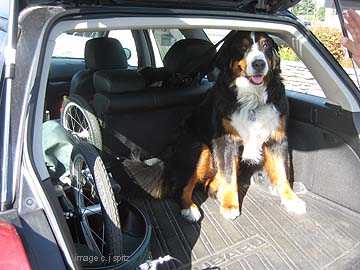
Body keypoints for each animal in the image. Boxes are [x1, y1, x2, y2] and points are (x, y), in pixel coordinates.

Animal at [124, 31, 306, 221]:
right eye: (242, 47)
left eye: (266, 46)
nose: (259, 64)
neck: (252, 98)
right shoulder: (226, 140)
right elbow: (229, 175)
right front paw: (230, 205)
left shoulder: (277, 137)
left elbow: (282, 173)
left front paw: (292, 200)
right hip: (198, 147)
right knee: (181, 187)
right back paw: (190, 208)